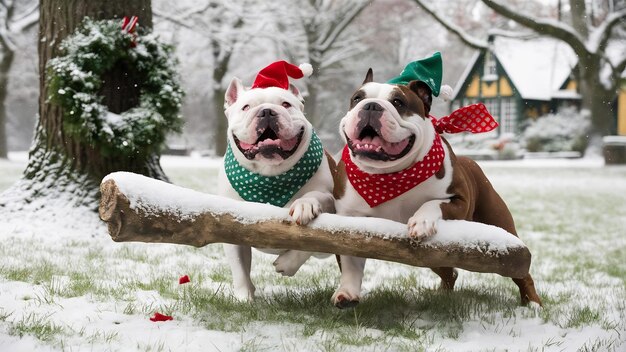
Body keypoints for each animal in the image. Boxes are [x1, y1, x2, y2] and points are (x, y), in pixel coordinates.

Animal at [330, 69, 540, 308]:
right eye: (357, 98)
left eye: (398, 102)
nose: (371, 106)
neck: (389, 175)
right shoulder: (349, 223)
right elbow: (350, 262)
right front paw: (347, 292)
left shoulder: (459, 200)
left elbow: (433, 203)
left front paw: (421, 222)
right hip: (434, 255)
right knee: (450, 271)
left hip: (502, 230)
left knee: (521, 269)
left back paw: (533, 303)